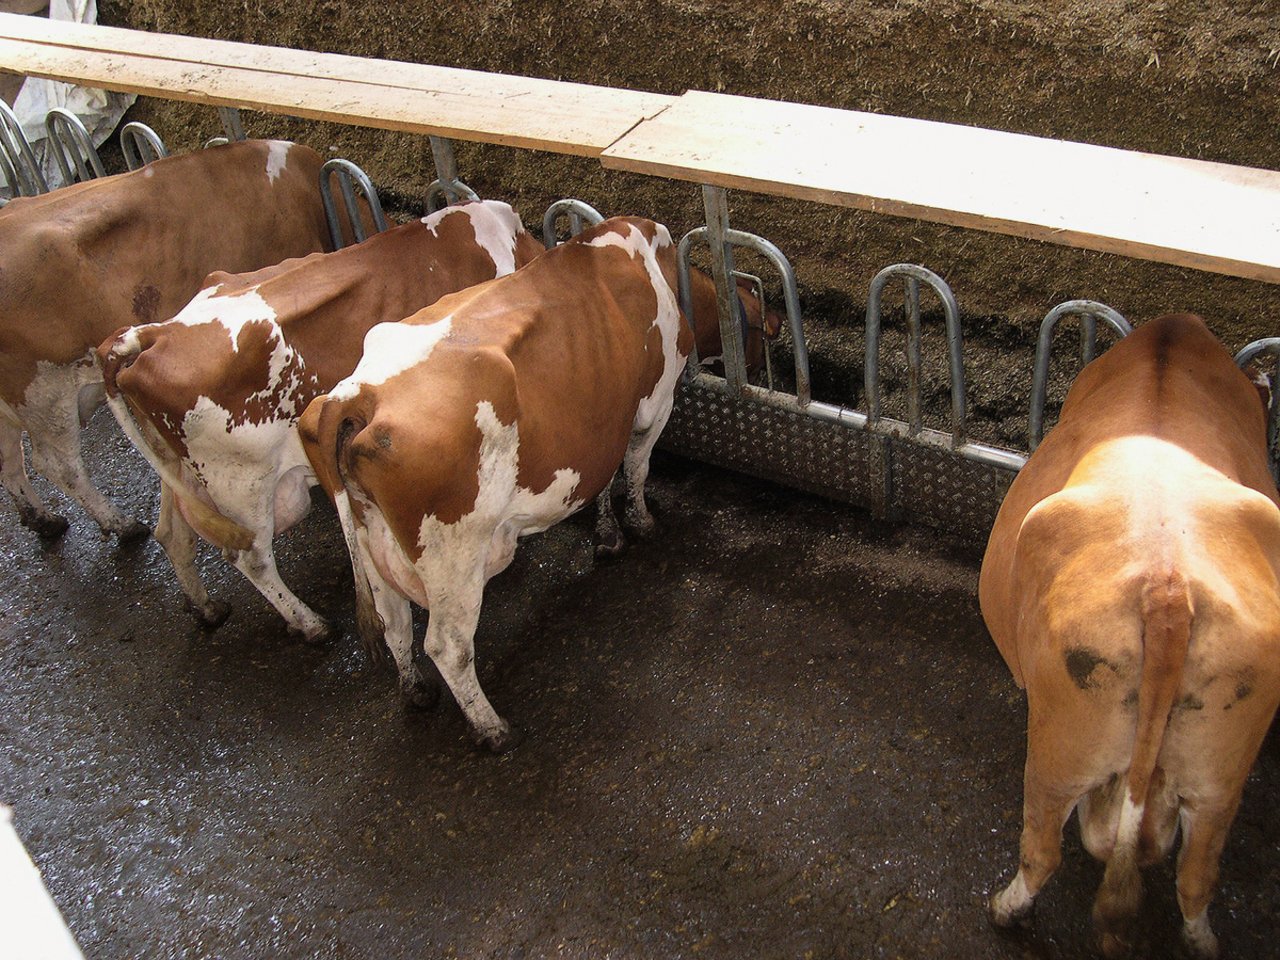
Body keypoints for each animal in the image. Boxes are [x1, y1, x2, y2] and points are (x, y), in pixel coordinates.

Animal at [97, 199, 542, 642]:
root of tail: (151, 335)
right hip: (241, 485)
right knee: (250, 555)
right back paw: (310, 624)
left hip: (179, 470)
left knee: (173, 533)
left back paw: (207, 608)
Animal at [295, 217, 747, 752]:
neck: (648, 259)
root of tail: (358, 397)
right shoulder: (651, 406)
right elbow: (636, 468)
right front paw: (641, 523)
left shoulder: (598, 428)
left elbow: (600, 479)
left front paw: (608, 534)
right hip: (454, 556)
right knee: (447, 646)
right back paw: (492, 729)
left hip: (372, 542)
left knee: (394, 622)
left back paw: (415, 691)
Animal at [977, 312, 1280, 957]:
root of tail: (1168, 585)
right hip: (1221, 767)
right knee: (1196, 874)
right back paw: (1199, 939)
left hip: (1062, 746)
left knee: (1043, 849)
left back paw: (1006, 909)